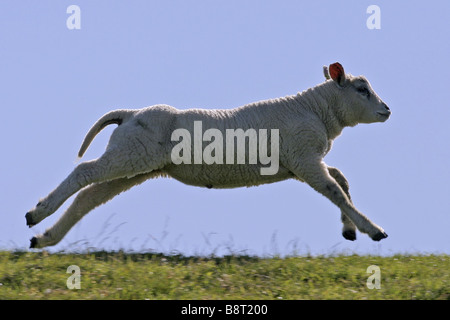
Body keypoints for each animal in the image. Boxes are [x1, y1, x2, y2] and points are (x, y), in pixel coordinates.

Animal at [25, 61, 390, 249]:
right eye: (362, 90)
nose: (386, 110)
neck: (316, 109)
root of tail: (129, 113)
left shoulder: (299, 163)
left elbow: (341, 181)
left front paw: (350, 230)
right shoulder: (304, 158)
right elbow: (334, 191)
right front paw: (373, 230)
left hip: (136, 163)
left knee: (88, 198)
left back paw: (44, 237)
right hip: (131, 155)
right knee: (84, 172)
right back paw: (37, 212)